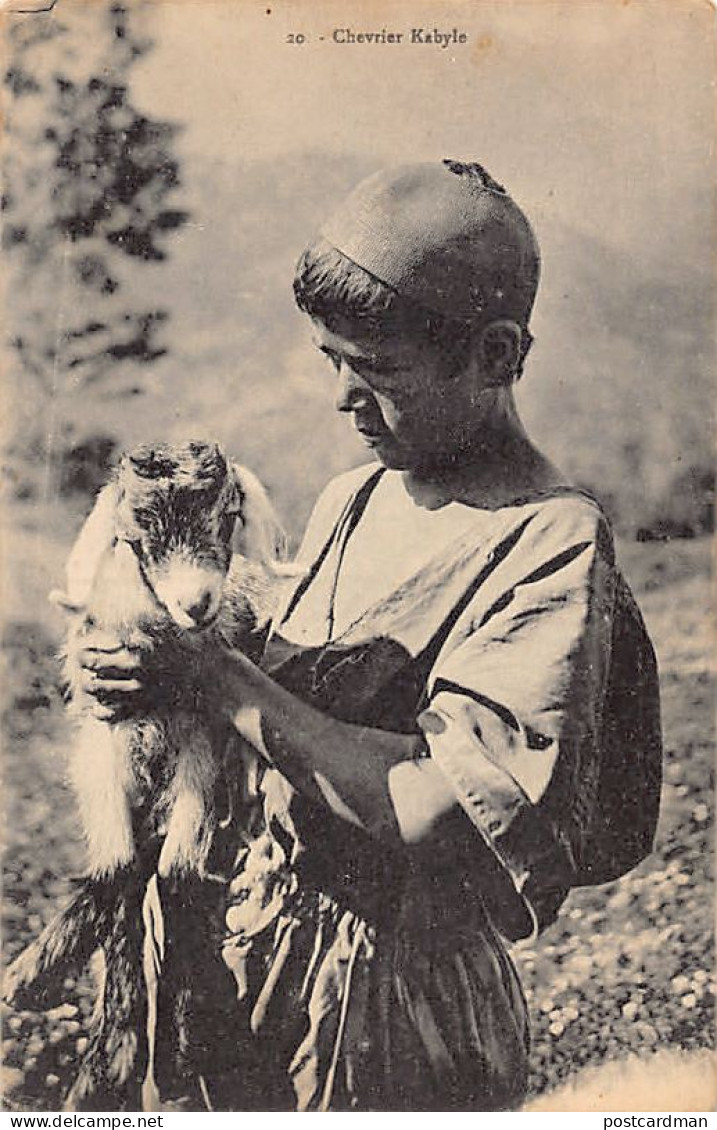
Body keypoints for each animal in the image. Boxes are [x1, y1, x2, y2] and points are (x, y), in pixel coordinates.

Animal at [3, 438, 289, 1102]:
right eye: (135, 535)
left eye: (228, 516)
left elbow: (177, 873)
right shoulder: (102, 747)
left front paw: (176, 1047)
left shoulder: (201, 754)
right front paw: (112, 1050)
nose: (197, 604)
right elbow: (117, 873)